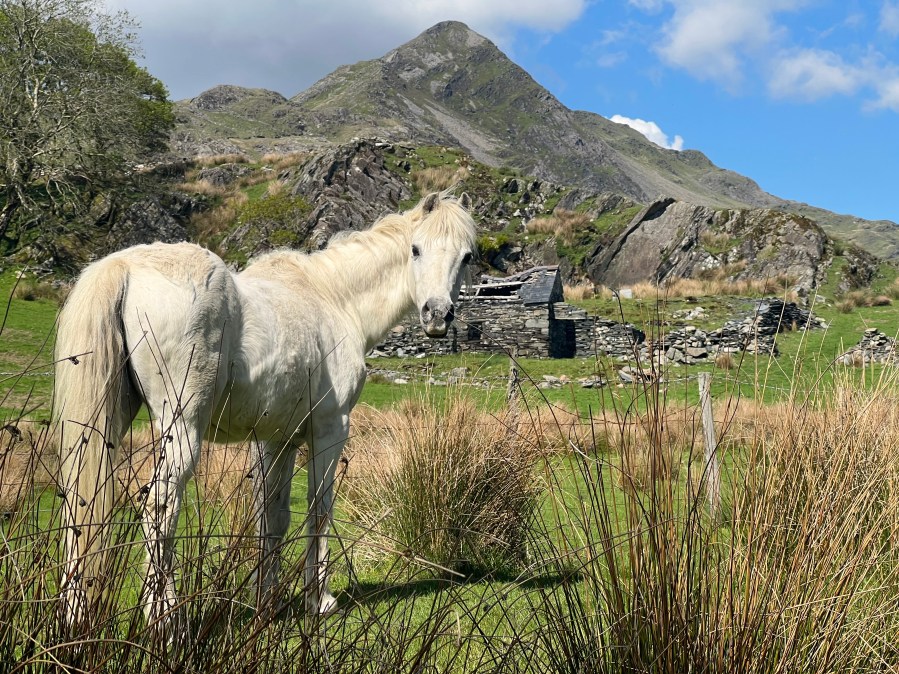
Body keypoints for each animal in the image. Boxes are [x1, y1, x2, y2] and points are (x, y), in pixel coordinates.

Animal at [54, 189, 478, 624]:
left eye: (467, 256)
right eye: (416, 249)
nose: (437, 315)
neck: (334, 298)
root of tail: (125, 267)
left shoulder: (277, 440)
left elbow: (272, 516)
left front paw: (267, 599)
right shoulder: (331, 430)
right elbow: (319, 509)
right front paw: (320, 600)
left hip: (107, 426)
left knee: (80, 505)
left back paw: (75, 612)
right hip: (182, 429)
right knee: (159, 509)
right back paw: (165, 615)